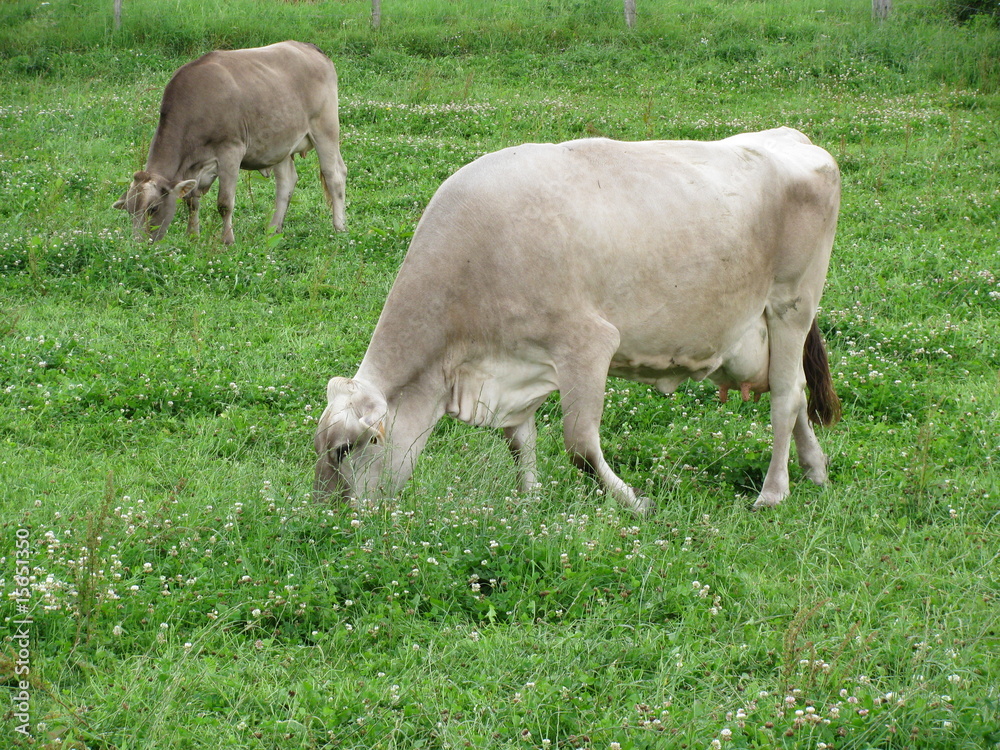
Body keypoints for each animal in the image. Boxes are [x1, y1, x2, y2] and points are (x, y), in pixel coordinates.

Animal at [113, 40, 346, 245]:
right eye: (129, 210)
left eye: (153, 208)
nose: (138, 246)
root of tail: (308, 47)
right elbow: (191, 201)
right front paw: (193, 236)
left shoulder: (231, 151)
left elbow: (224, 203)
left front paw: (227, 240)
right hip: (280, 142)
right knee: (287, 182)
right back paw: (273, 230)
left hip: (325, 128)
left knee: (334, 175)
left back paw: (339, 227)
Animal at [313, 127, 841, 514]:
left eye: (342, 450)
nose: (327, 516)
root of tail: (793, 137)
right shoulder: (518, 362)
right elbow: (518, 438)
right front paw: (529, 499)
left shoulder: (588, 343)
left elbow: (580, 445)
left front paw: (635, 502)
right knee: (793, 394)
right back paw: (815, 469)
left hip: (791, 304)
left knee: (787, 396)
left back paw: (773, 492)